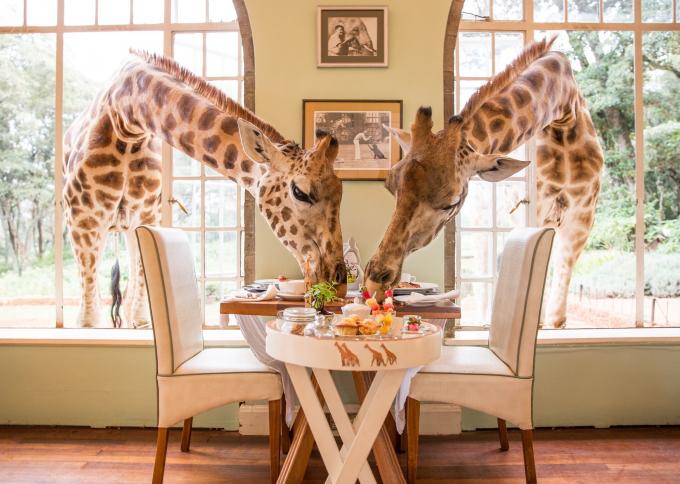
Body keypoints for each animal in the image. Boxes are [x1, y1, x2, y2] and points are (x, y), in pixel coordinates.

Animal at [63, 51, 346, 328]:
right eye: (300, 193)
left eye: (341, 193)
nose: (339, 281)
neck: (127, 118)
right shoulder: (83, 220)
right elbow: (88, 321)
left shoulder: (147, 216)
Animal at [364, 38, 603, 328]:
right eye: (390, 186)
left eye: (452, 202)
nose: (374, 282)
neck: (563, 111)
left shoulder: (580, 219)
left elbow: (556, 314)